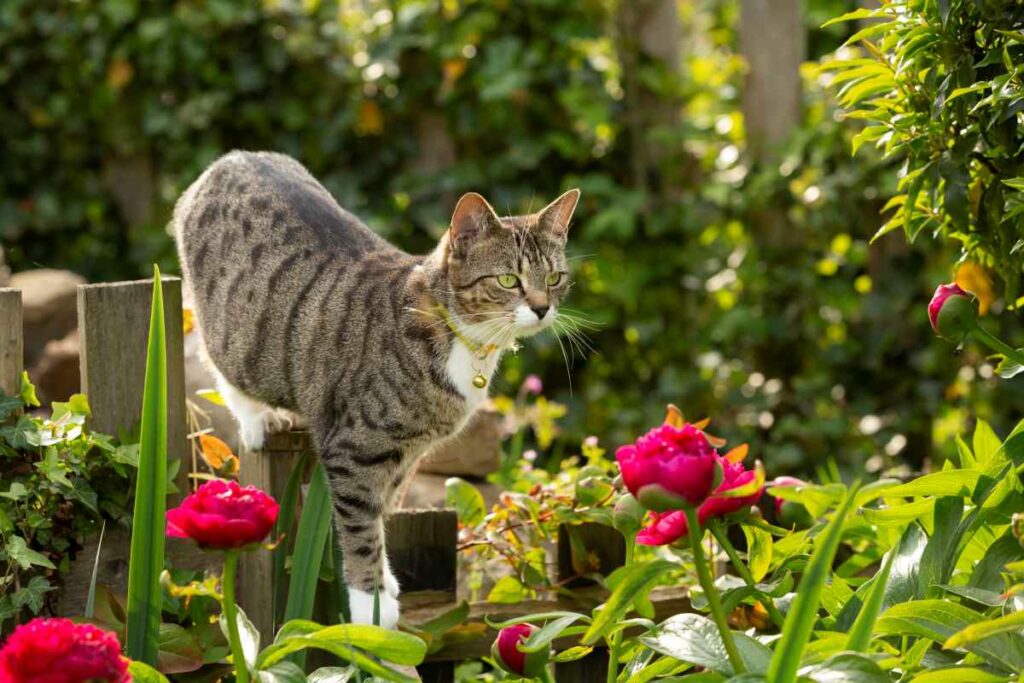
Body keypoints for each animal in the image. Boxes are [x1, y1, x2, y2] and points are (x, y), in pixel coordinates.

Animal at [172, 152, 581, 626]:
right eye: (508, 280)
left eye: (554, 278)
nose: (542, 308)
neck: (460, 335)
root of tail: (230, 159)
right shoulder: (354, 449)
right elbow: (362, 524)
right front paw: (372, 603)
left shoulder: (407, 454)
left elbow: (384, 510)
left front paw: (385, 582)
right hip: (234, 338)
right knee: (219, 363)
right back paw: (258, 419)